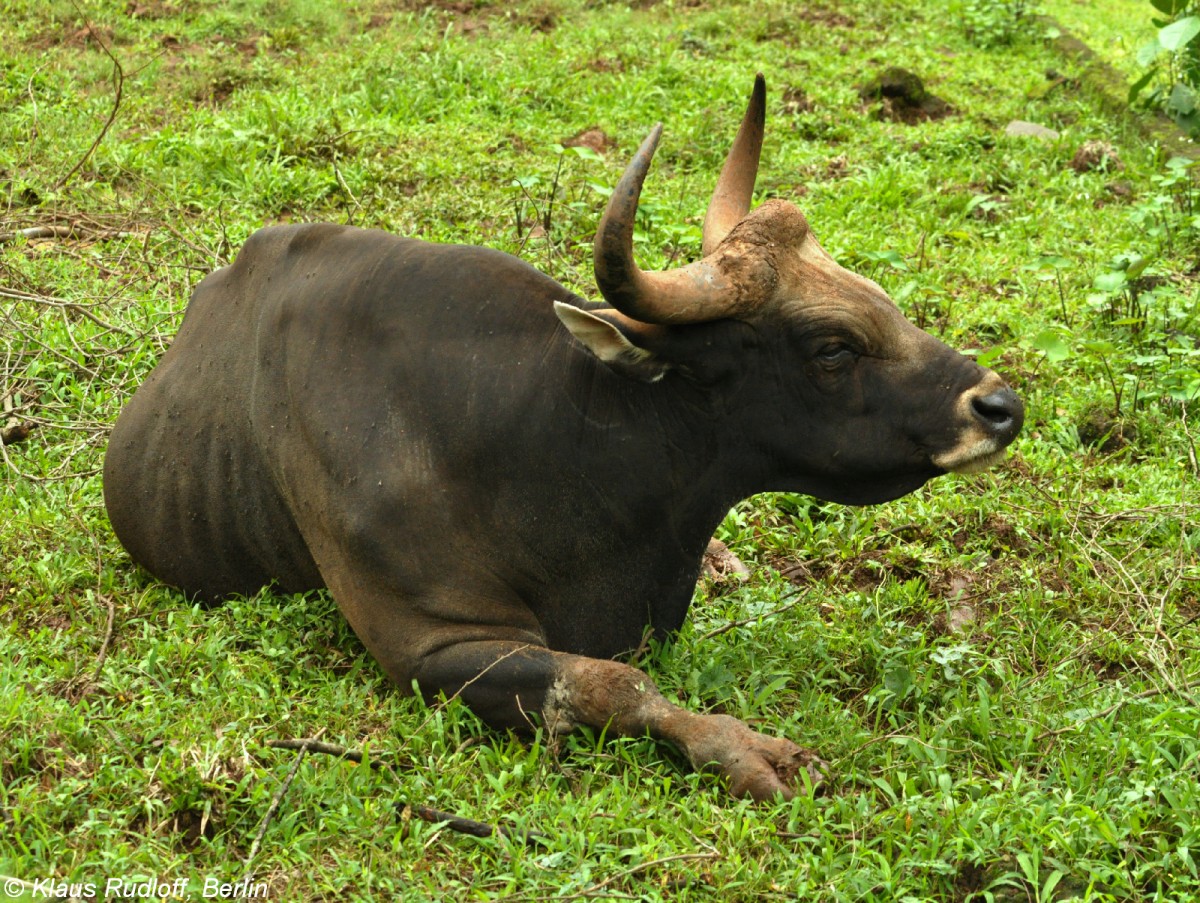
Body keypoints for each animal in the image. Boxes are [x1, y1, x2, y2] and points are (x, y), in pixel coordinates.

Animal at [105, 75, 1022, 797]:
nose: (999, 405)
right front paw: (748, 750)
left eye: (879, 299)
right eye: (833, 347)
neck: (552, 442)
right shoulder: (432, 646)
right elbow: (615, 683)